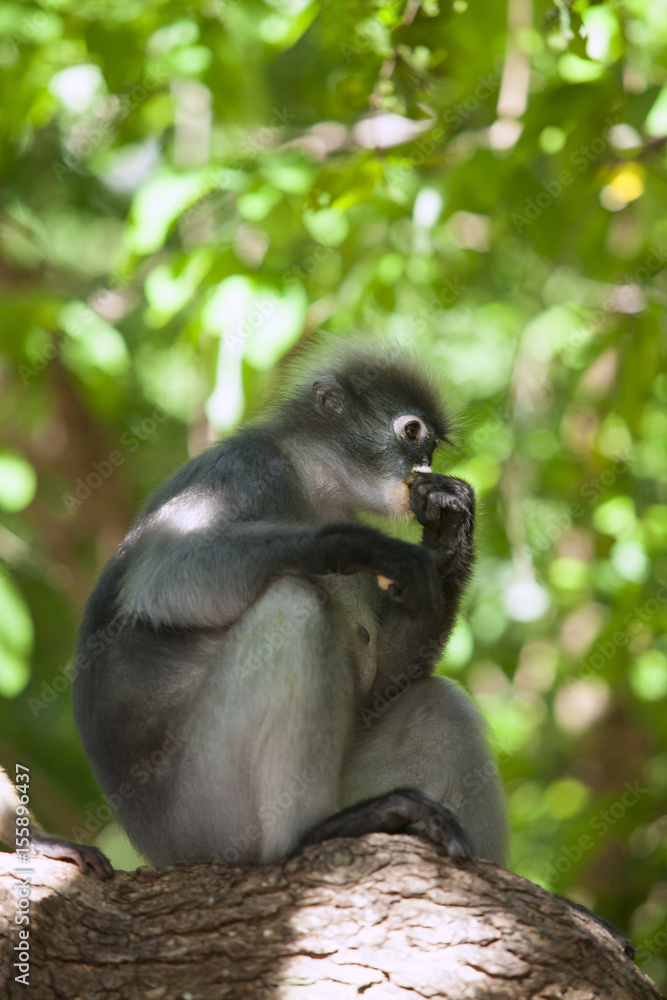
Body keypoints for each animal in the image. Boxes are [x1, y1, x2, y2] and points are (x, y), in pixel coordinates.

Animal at [73, 342, 509, 868]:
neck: (310, 482)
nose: (423, 462)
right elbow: (164, 576)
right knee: (294, 604)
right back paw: (309, 833)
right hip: (210, 817)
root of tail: (158, 849)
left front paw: (449, 530)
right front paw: (357, 544)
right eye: (412, 432)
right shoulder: (247, 468)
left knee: (437, 705)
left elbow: (382, 681)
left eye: (432, 449)